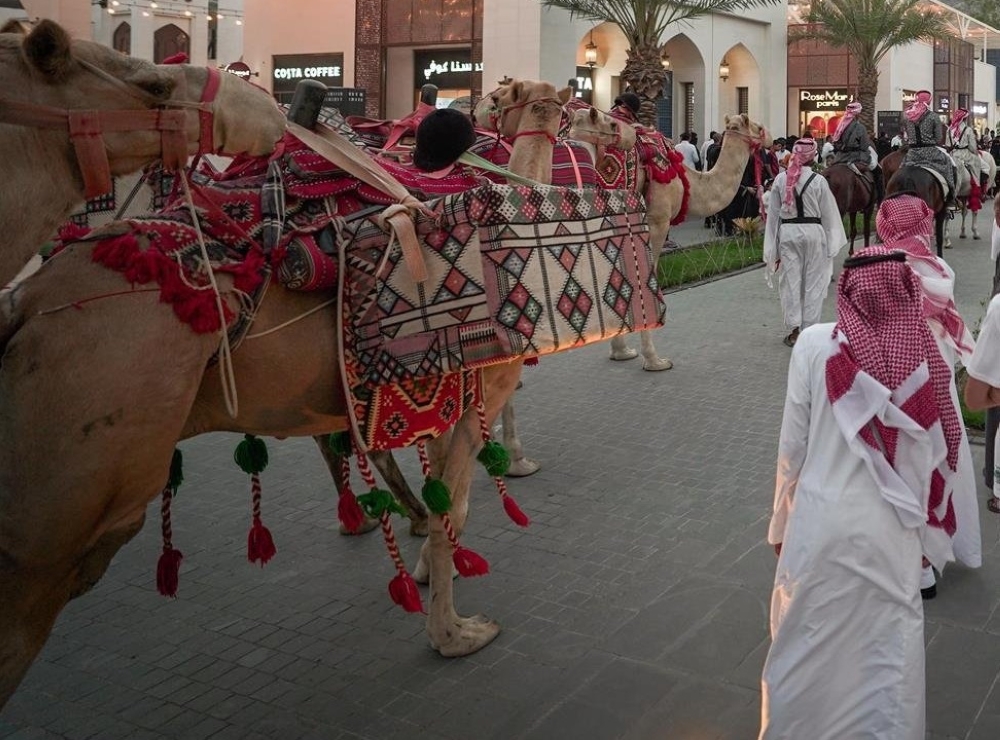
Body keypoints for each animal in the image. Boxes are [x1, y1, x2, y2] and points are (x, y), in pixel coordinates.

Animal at [568, 104, 768, 370]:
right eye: (758, 127)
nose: (769, 137)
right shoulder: (657, 221)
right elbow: (645, 279)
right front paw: (654, 360)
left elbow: (619, 275)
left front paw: (621, 350)